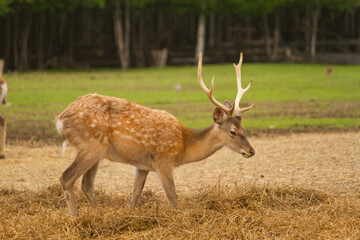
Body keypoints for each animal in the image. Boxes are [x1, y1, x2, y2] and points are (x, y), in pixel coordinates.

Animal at [56, 52, 255, 216]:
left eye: (244, 130)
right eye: (233, 132)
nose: (251, 151)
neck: (183, 145)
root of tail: (61, 118)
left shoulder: (143, 165)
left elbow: (135, 194)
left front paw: (129, 215)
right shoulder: (163, 159)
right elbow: (173, 197)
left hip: (97, 151)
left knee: (87, 184)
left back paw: (99, 216)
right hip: (91, 144)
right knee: (66, 177)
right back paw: (76, 218)